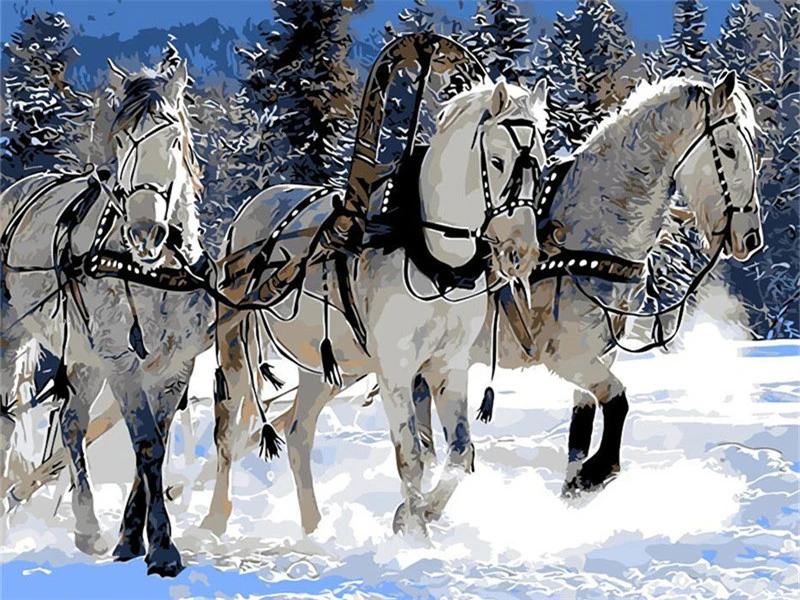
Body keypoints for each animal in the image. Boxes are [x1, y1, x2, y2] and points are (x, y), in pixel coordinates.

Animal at [0, 57, 216, 577]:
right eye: (121, 141)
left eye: (173, 139)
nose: (145, 231)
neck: (152, 272)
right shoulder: (121, 359)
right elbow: (146, 443)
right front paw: (161, 547)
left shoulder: (175, 363)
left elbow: (154, 442)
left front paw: (129, 537)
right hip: (13, 336)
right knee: (8, 419)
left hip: (83, 356)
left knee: (71, 424)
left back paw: (86, 526)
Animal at [205, 78, 550, 537]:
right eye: (497, 161)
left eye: (541, 165)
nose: (521, 253)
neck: (432, 258)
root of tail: (254, 204)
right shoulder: (396, 368)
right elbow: (412, 456)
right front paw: (415, 533)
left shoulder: (449, 365)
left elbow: (461, 453)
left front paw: (420, 512)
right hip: (237, 343)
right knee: (228, 432)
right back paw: (214, 520)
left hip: (330, 365)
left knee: (298, 433)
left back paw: (314, 528)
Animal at [415, 71, 764, 494]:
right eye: (728, 149)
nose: (750, 237)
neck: (590, 237)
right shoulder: (569, 356)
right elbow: (618, 400)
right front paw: (599, 471)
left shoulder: (599, 354)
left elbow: (581, 425)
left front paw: (575, 483)